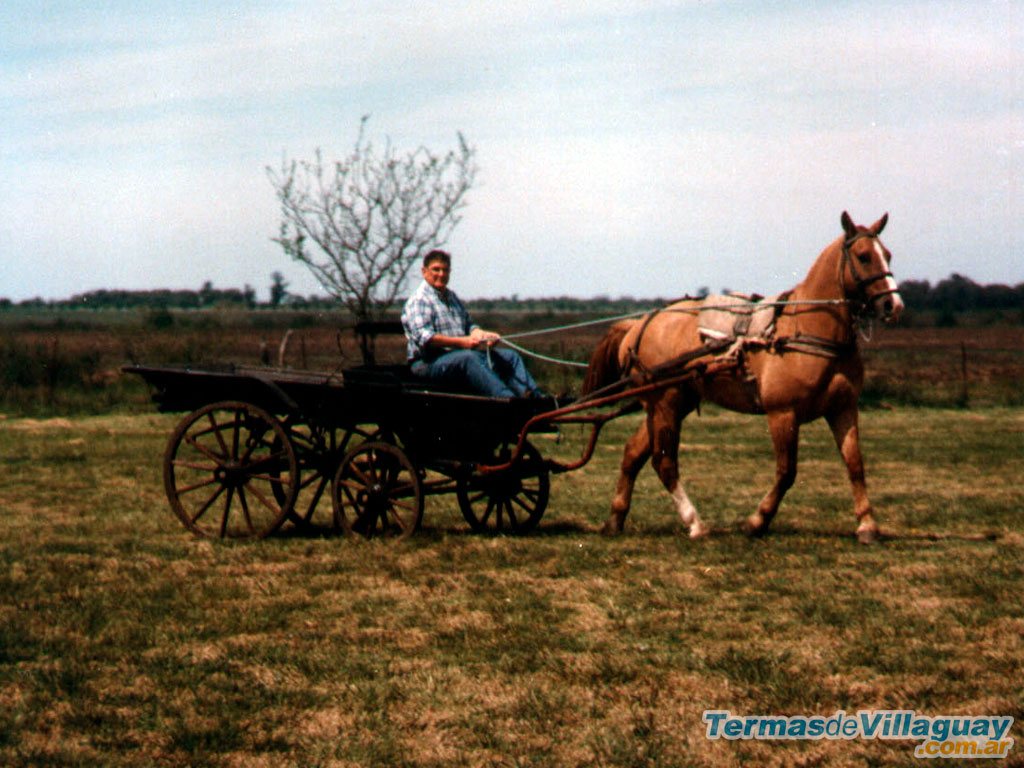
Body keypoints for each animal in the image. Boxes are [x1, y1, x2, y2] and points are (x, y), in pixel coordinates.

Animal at [585, 214, 905, 544]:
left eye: (888, 255)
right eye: (864, 256)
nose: (893, 306)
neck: (806, 329)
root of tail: (639, 325)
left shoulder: (843, 409)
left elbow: (855, 464)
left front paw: (867, 525)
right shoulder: (782, 413)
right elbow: (786, 472)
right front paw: (757, 521)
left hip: (669, 404)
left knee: (632, 453)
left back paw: (615, 519)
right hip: (665, 403)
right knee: (664, 463)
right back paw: (695, 523)